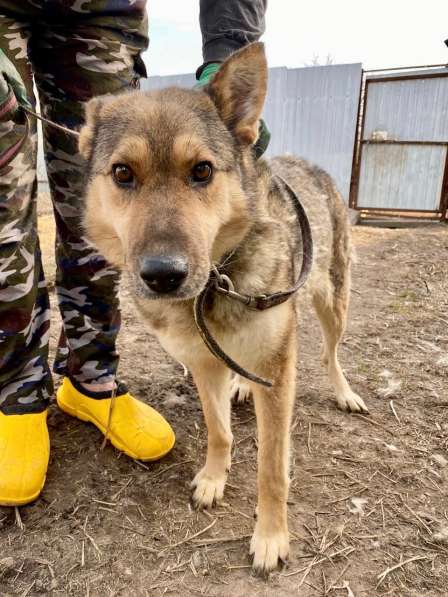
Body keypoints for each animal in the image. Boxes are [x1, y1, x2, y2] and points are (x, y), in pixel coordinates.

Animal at [79, 42, 368, 572]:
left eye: (203, 171)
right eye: (122, 173)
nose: (163, 275)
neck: (215, 284)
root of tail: (307, 162)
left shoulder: (277, 374)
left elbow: (272, 468)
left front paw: (271, 536)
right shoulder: (201, 363)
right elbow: (219, 431)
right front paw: (215, 478)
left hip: (334, 302)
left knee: (330, 353)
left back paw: (343, 392)